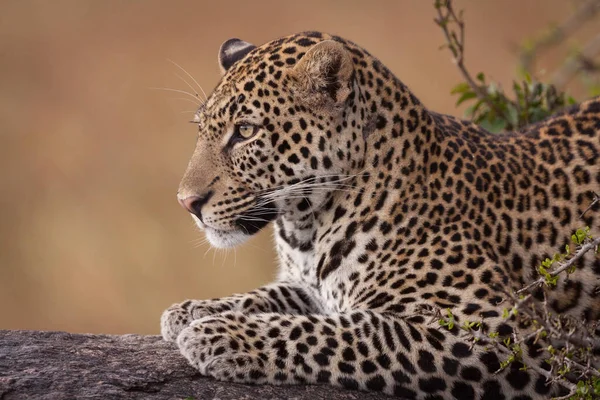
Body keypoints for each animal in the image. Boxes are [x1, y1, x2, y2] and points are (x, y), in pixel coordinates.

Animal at [161, 32, 600, 400]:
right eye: (201, 129)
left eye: (247, 131)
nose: (187, 202)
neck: (307, 228)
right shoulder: (308, 286)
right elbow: (267, 296)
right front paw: (191, 312)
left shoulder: (507, 331)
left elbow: (349, 331)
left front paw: (222, 334)